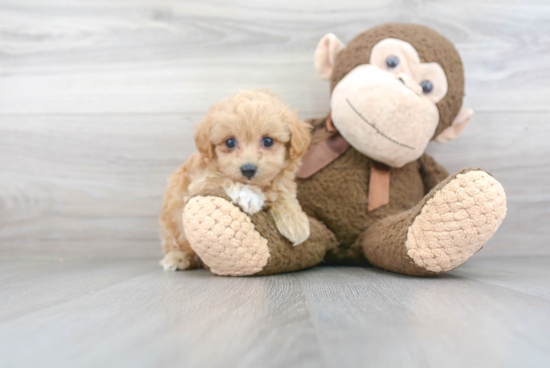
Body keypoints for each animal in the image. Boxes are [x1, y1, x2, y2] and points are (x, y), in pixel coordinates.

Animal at [162, 89, 312, 270]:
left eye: (268, 141)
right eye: (230, 142)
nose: (248, 169)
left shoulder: (281, 180)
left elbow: (283, 193)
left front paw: (295, 220)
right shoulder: (200, 182)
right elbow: (224, 178)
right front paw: (250, 196)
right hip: (173, 220)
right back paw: (177, 257)